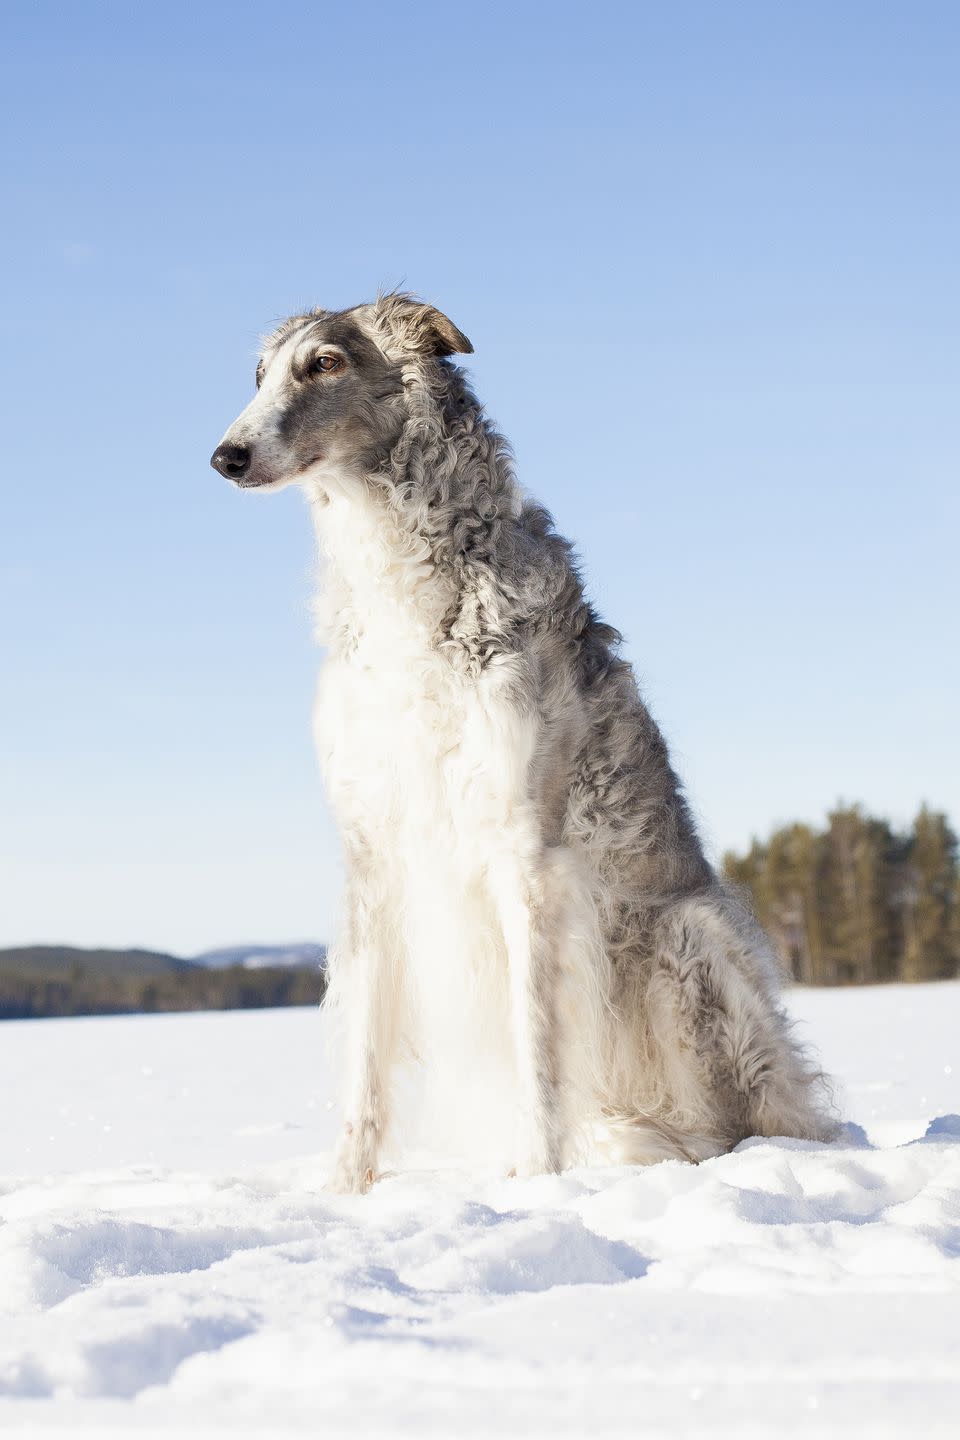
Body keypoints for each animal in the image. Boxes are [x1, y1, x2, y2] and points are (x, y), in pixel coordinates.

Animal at [211, 292, 834, 1192]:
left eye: (324, 363)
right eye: (258, 376)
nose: (225, 456)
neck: (403, 598)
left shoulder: (526, 852)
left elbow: (536, 1045)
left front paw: (537, 1182)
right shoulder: (373, 853)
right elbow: (362, 1064)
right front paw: (345, 1193)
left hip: (691, 941)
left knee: (735, 1127)